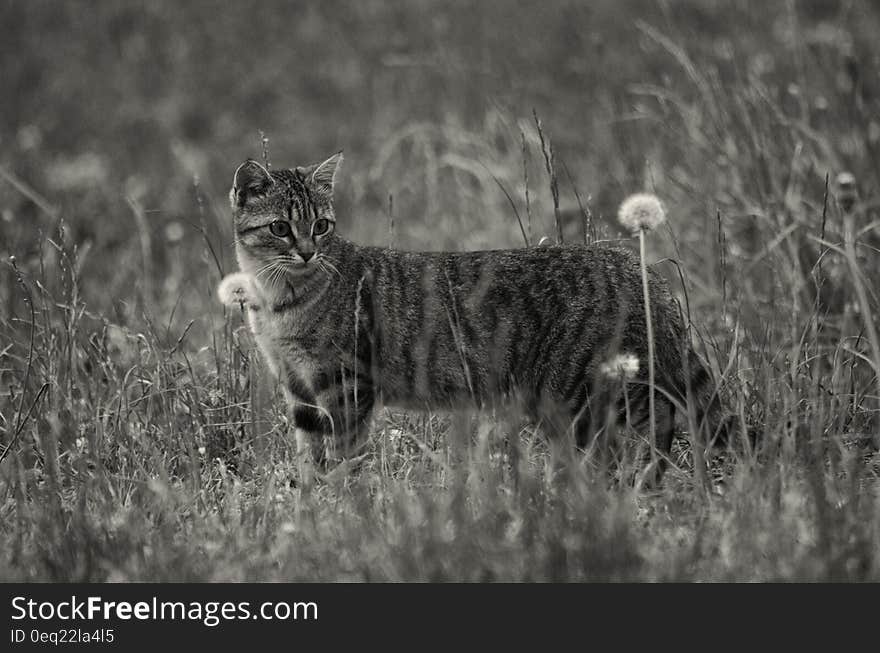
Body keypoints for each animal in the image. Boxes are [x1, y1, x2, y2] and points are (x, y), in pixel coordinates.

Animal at [220, 153, 736, 478]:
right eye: (281, 227)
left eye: (321, 225)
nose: (308, 251)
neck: (278, 300)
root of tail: (635, 264)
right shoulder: (299, 390)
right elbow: (310, 459)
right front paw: (310, 507)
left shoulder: (345, 385)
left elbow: (344, 456)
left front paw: (343, 504)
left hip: (588, 386)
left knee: (663, 420)